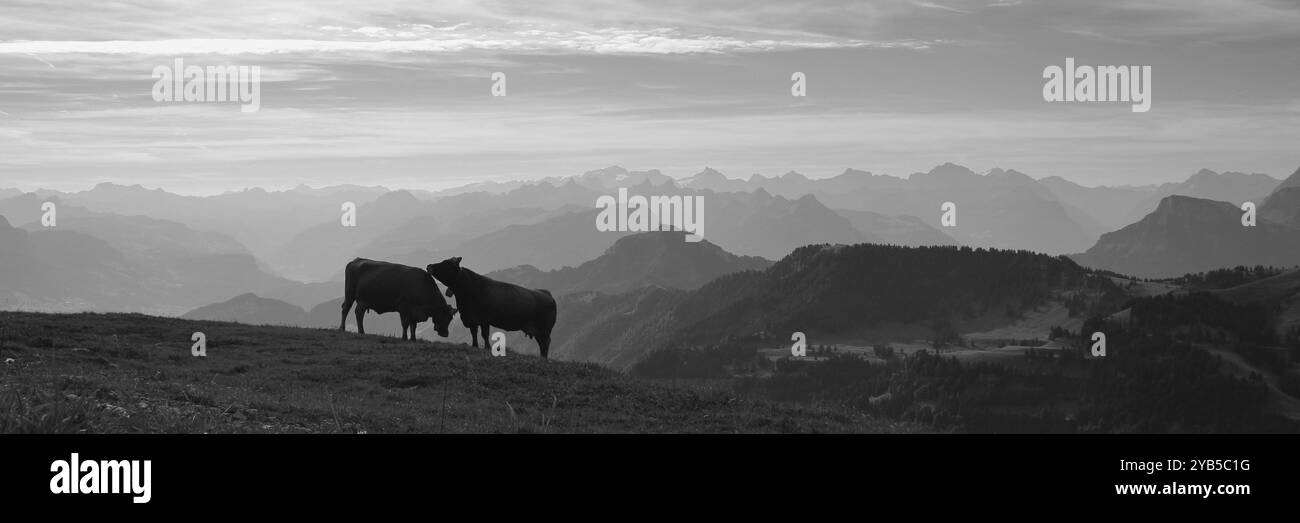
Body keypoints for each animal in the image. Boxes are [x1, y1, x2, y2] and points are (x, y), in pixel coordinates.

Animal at [426, 257, 557, 359]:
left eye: (446, 264)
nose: (429, 266)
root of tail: (547, 293)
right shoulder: (471, 318)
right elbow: (474, 333)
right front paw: (475, 346)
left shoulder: (484, 319)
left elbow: (484, 334)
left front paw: (487, 347)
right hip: (539, 330)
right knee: (542, 343)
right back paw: (542, 357)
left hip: (545, 329)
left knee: (546, 343)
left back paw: (544, 358)